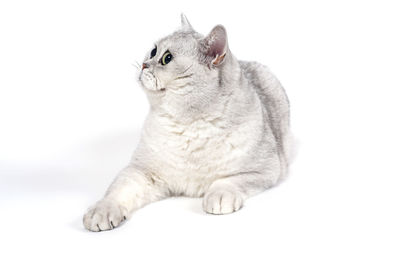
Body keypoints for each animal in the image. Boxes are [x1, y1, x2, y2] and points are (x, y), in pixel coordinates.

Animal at [83, 14, 290, 232]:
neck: (188, 123)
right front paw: (102, 210)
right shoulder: (142, 171)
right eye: (153, 51)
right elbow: (117, 190)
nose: (144, 64)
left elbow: (228, 181)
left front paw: (218, 197)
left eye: (167, 58)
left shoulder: (263, 169)